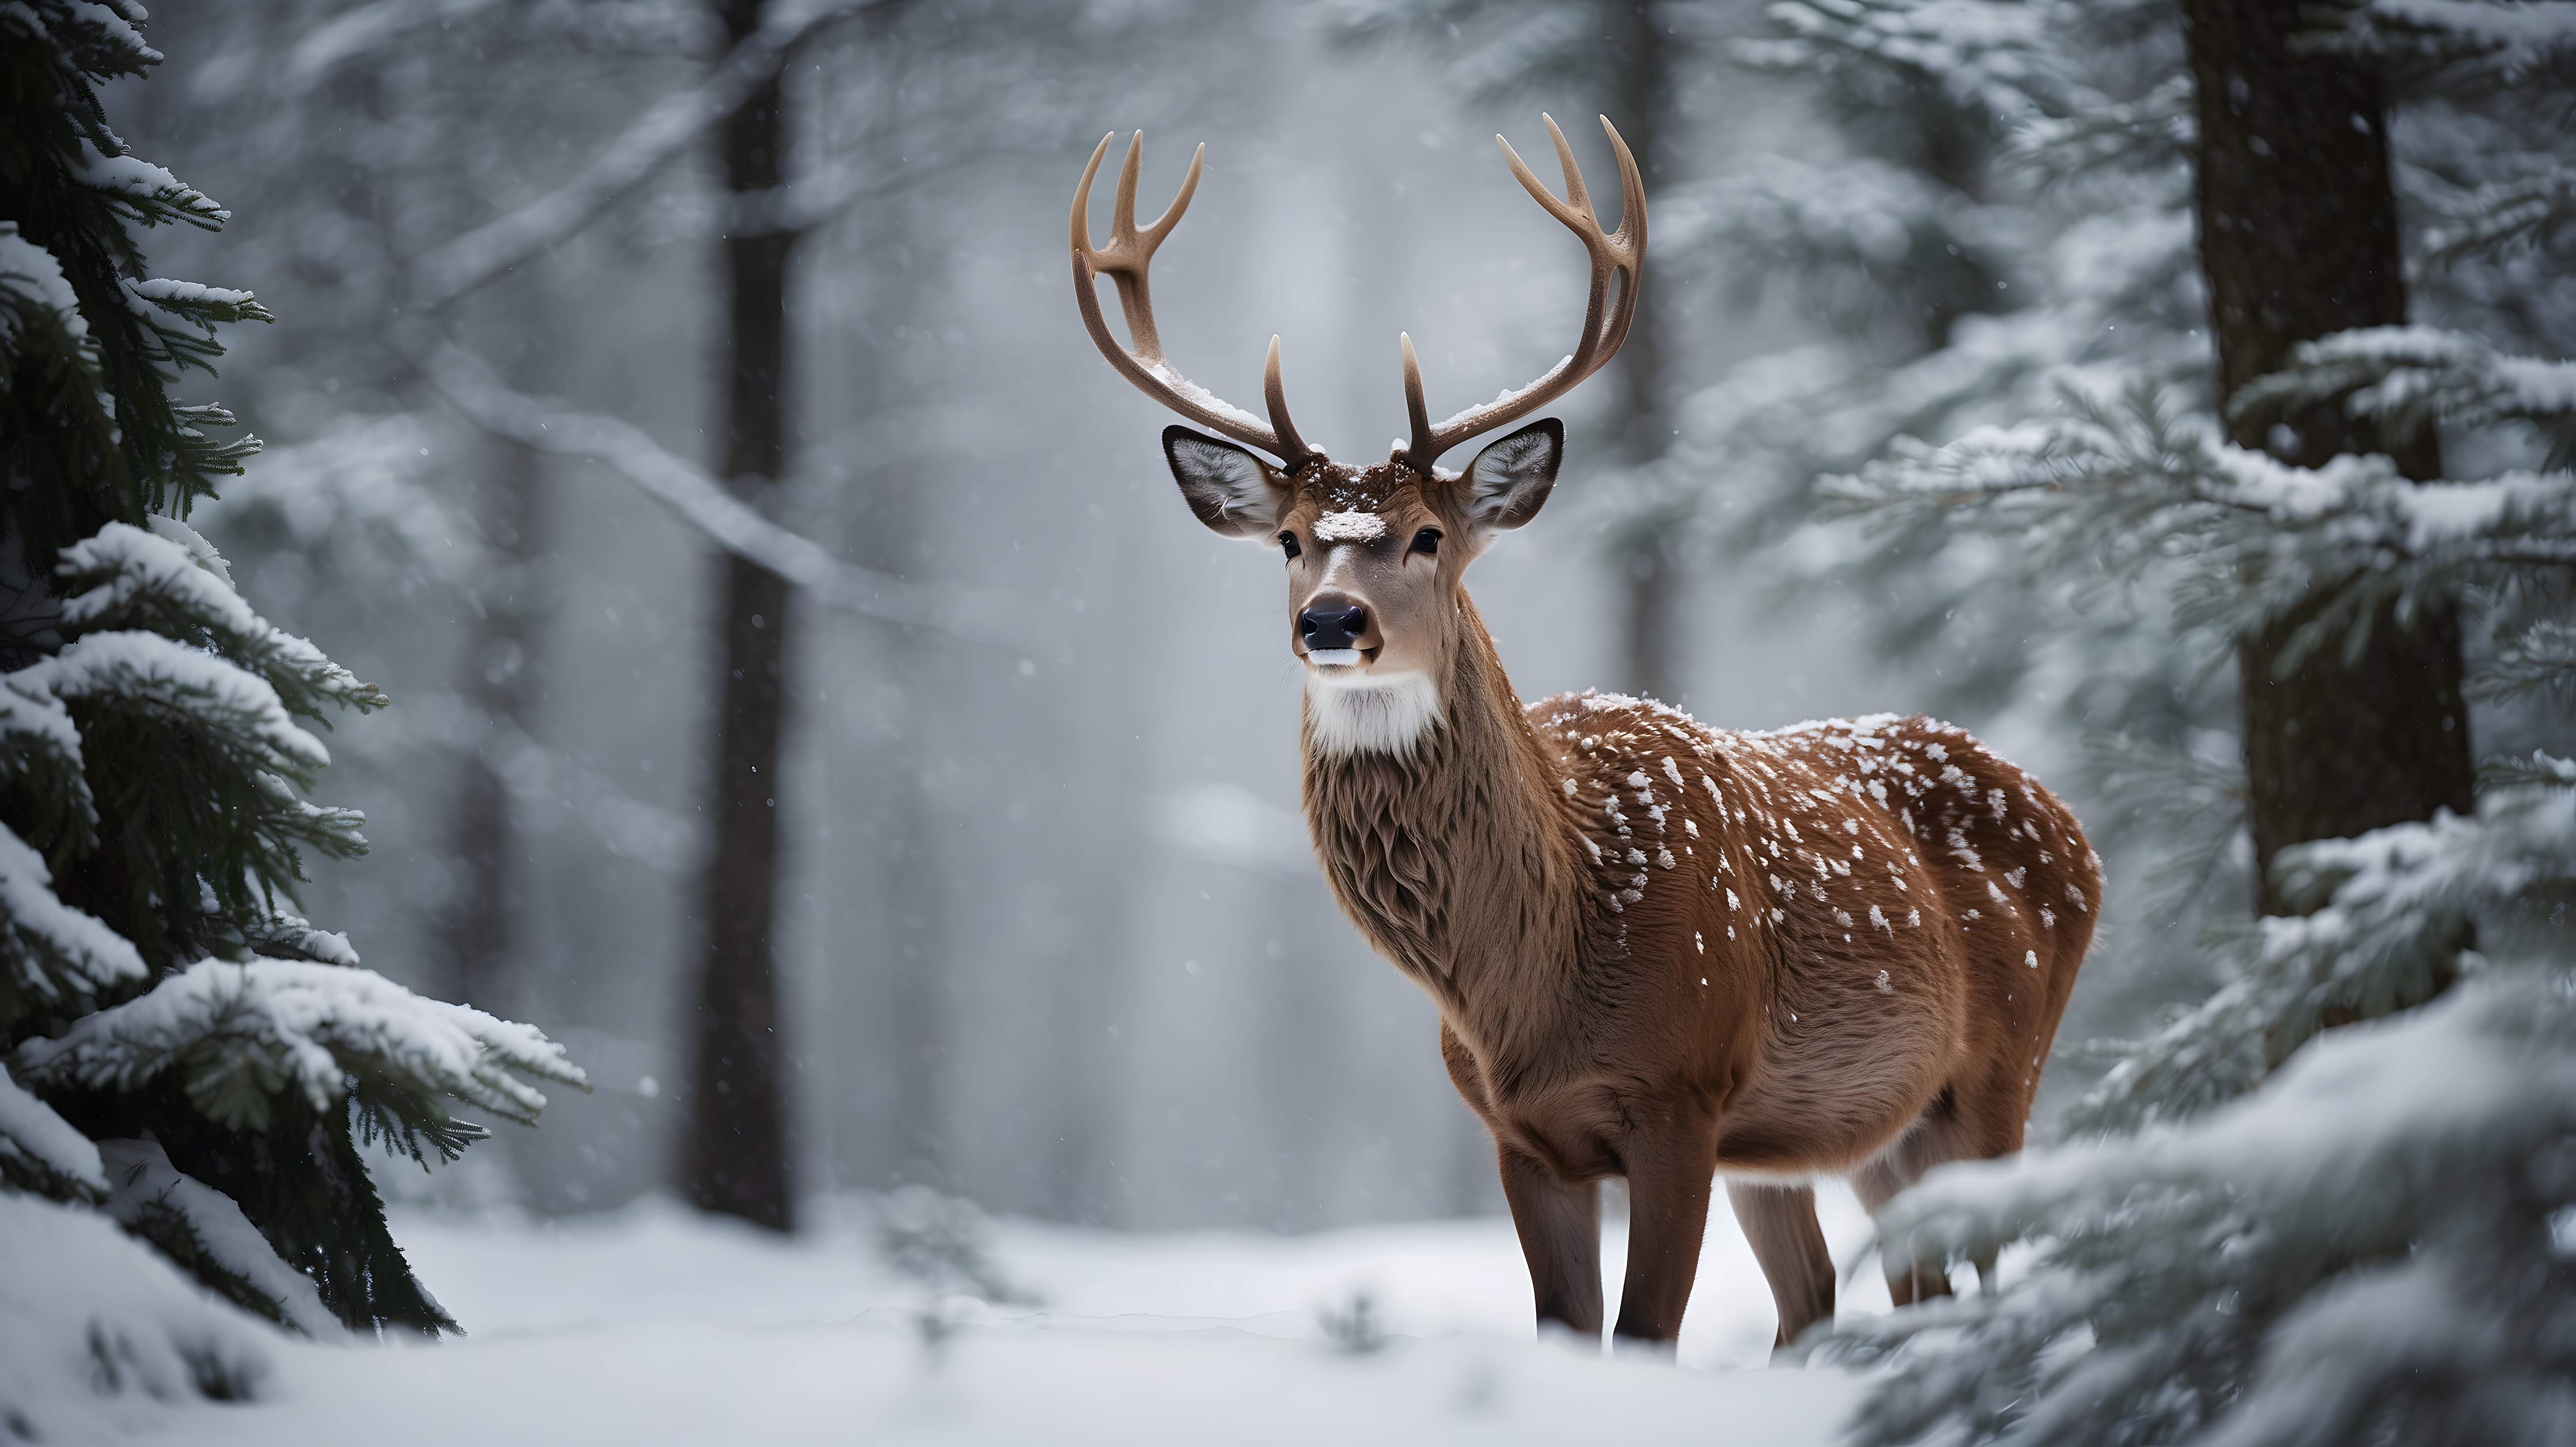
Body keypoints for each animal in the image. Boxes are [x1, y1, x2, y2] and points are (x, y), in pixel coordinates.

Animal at [1070, 116, 2099, 1354]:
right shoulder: (1520, 1132)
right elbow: (1566, 1327)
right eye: (1288, 540)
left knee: (1993, 1273)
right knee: (1851, 1292)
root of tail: (2074, 828)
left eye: (1426, 535)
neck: (1533, 967)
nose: (1331, 620)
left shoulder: (1681, 1090)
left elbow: (1643, 1332)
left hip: (1999, 1071)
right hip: (1834, 1134)